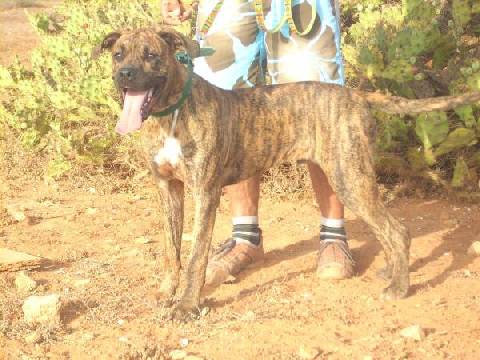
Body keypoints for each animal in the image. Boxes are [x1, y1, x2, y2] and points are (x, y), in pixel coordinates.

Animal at [94, 26, 480, 320]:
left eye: (151, 55)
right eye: (118, 54)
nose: (124, 75)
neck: (169, 113)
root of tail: (358, 96)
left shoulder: (204, 192)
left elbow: (195, 257)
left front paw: (187, 304)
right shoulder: (168, 188)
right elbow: (170, 249)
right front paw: (166, 291)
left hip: (349, 176)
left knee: (397, 230)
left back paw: (399, 287)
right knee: (388, 230)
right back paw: (392, 270)